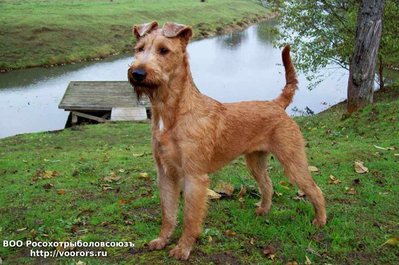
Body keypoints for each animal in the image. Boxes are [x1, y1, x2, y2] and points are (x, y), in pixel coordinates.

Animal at [128, 21, 328, 260]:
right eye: (139, 48)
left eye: (164, 50)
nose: (137, 73)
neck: (173, 113)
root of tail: (276, 104)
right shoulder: (166, 173)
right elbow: (168, 213)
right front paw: (162, 240)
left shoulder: (194, 176)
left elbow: (190, 218)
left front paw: (183, 249)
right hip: (255, 162)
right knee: (268, 185)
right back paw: (263, 210)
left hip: (293, 161)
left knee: (315, 189)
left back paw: (320, 221)